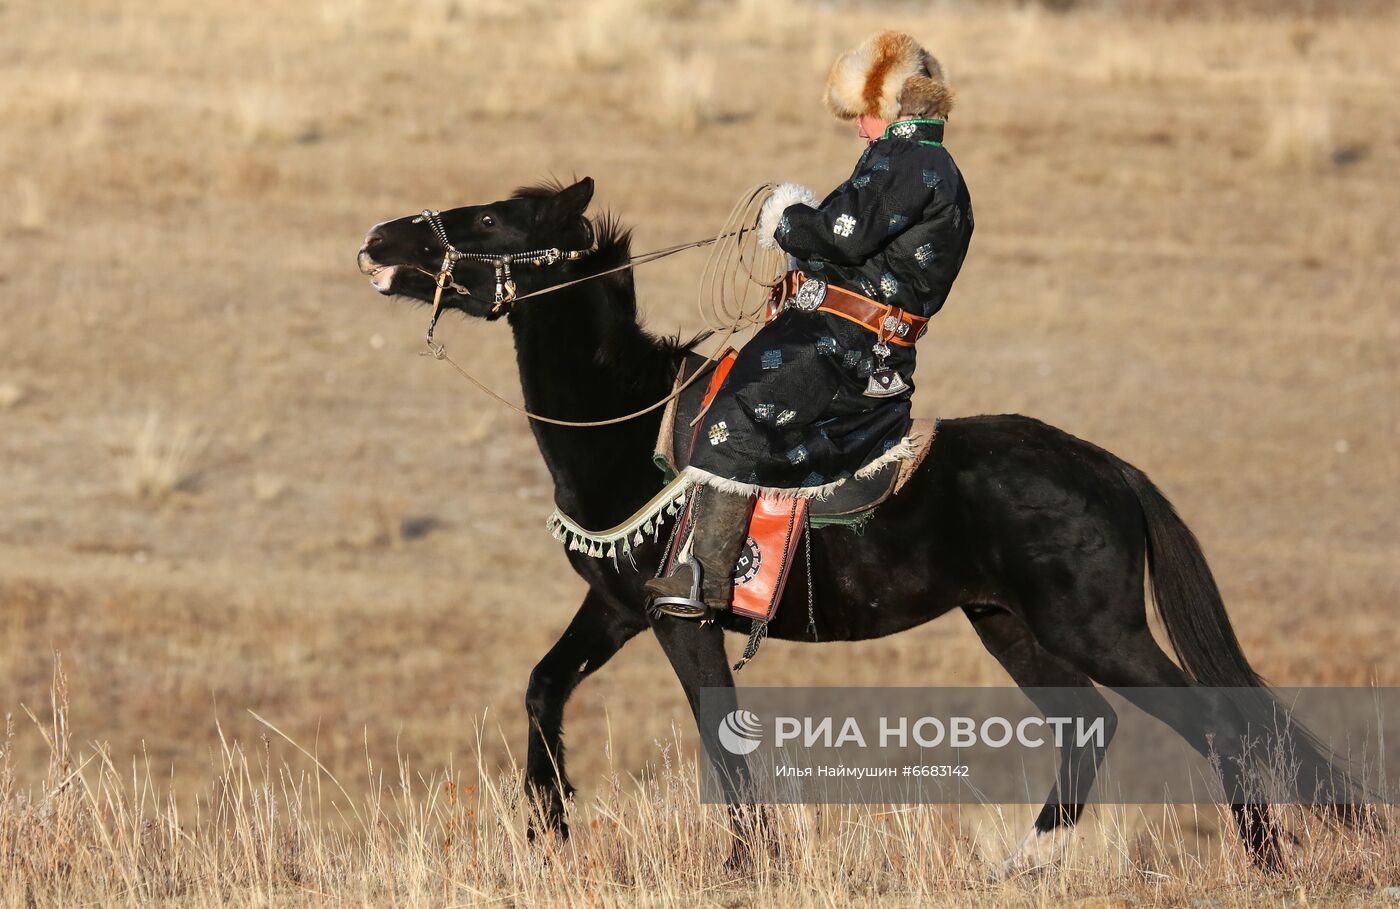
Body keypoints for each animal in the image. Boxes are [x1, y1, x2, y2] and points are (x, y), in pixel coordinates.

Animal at [361, 177, 1355, 873]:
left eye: (494, 220)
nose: (381, 239)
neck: (627, 427)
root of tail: (1106, 466)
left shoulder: (681, 617)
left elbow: (718, 735)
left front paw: (746, 861)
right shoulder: (618, 607)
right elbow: (543, 687)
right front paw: (550, 823)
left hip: (1095, 627)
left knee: (1215, 719)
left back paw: (1265, 858)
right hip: (1009, 624)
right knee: (1091, 726)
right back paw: (1024, 863)